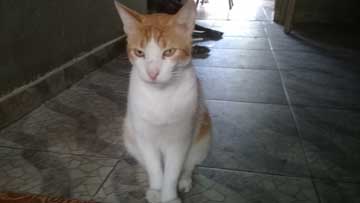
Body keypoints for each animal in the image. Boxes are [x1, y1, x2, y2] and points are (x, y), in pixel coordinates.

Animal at [114, 0, 211, 202]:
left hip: (203, 139)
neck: (160, 95)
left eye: (169, 52)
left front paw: (169, 197)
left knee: (189, 165)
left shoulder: (180, 139)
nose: (152, 73)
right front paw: (157, 190)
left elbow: (172, 172)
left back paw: (185, 180)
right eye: (139, 52)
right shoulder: (144, 137)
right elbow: (155, 168)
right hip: (129, 137)